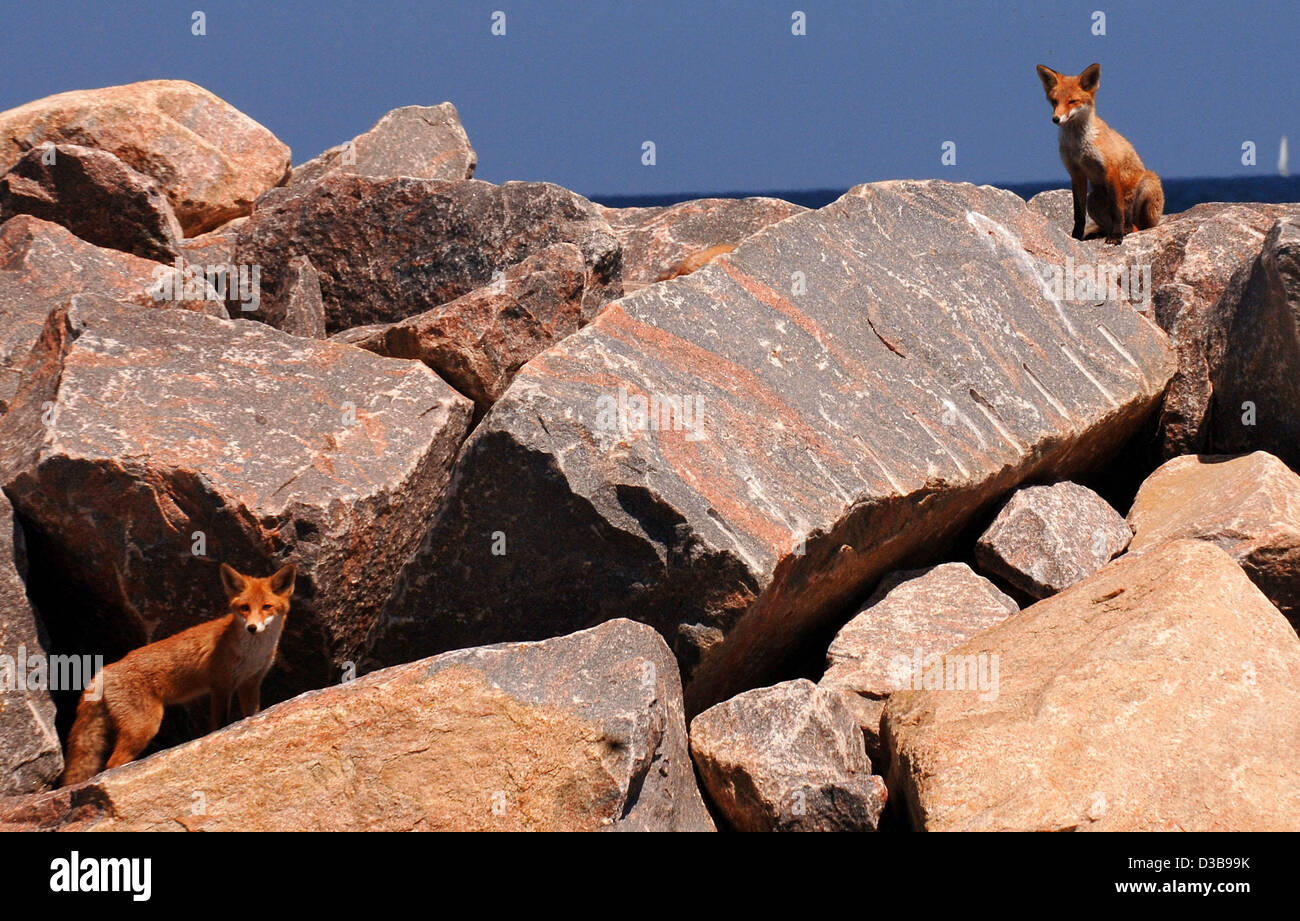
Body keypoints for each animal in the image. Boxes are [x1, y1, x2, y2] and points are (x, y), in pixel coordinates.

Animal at [60, 561, 297, 785]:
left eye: (267, 607)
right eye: (245, 608)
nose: (252, 628)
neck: (253, 652)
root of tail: (103, 670)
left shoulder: (251, 684)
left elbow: (252, 714)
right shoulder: (221, 686)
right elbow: (221, 723)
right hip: (145, 727)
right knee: (111, 764)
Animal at [1040, 62, 1164, 244]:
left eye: (1072, 101)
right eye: (1054, 101)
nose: (1056, 119)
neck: (1079, 146)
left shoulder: (1110, 170)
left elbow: (1117, 210)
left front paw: (1117, 237)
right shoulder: (1076, 173)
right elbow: (1078, 214)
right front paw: (1076, 237)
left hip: (1148, 183)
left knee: (1139, 226)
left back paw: (1125, 230)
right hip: (1093, 200)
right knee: (1108, 225)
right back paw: (1104, 232)